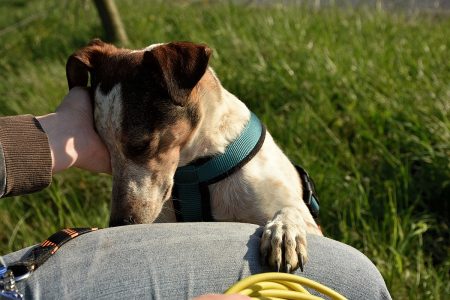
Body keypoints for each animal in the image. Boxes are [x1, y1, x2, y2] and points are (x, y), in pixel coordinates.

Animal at [65, 39, 322, 272]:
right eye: (106, 149)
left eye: (141, 145)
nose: (119, 223)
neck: (196, 168)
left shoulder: (309, 222)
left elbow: (291, 210)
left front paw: (284, 231)